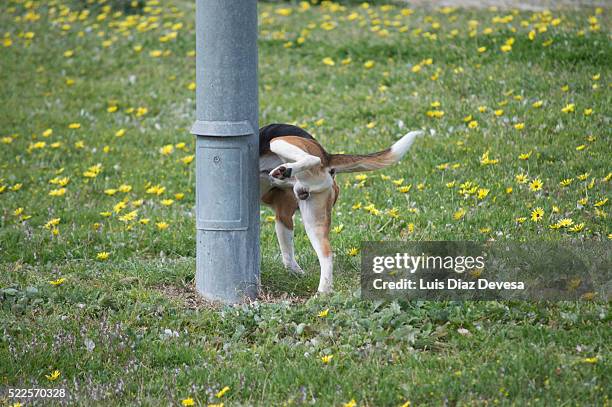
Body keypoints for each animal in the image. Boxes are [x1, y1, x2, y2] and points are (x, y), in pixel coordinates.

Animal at [258, 124, 420, 294]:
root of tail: (326, 157)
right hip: (308, 220)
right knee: (325, 254)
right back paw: (322, 293)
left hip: (279, 142)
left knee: (312, 159)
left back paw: (285, 170)